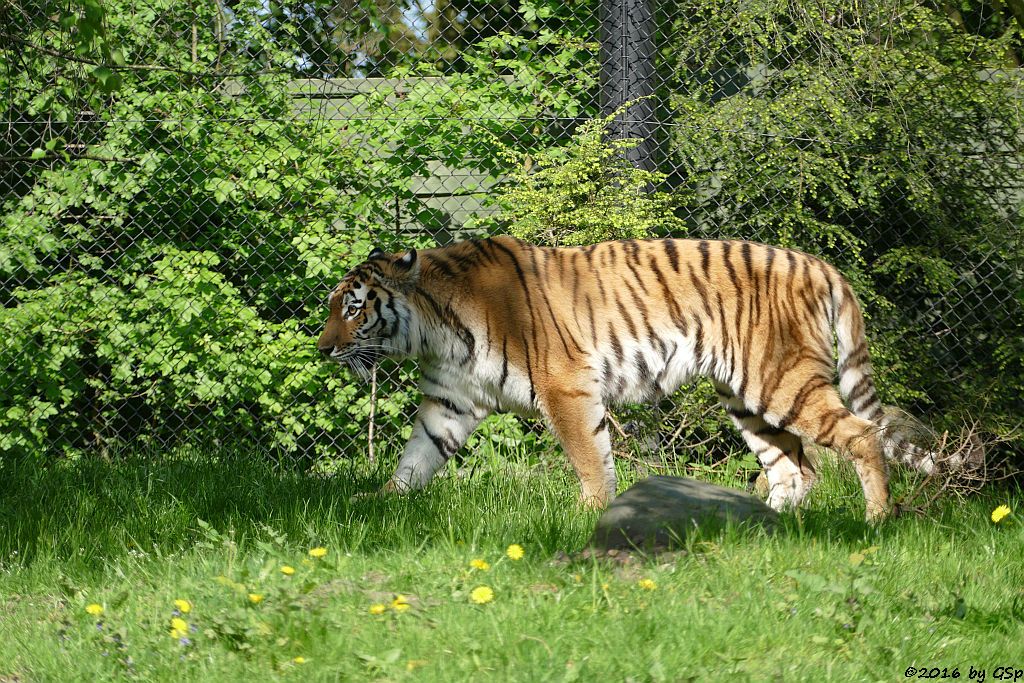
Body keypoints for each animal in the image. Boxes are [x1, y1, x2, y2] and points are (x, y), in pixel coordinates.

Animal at [317, 237, 942, 520]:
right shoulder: (450, 402)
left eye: (353, 308)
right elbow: (416, 457)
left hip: (781, 379)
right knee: (796, 469)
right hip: (746, 397)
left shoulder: (567, 386)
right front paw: (375, 503)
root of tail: (819, 263)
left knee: (860, 435)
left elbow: (590, 457)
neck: (435, 328)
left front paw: (591, 515)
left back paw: (876, 519)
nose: (323, 349)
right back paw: (762, 526)